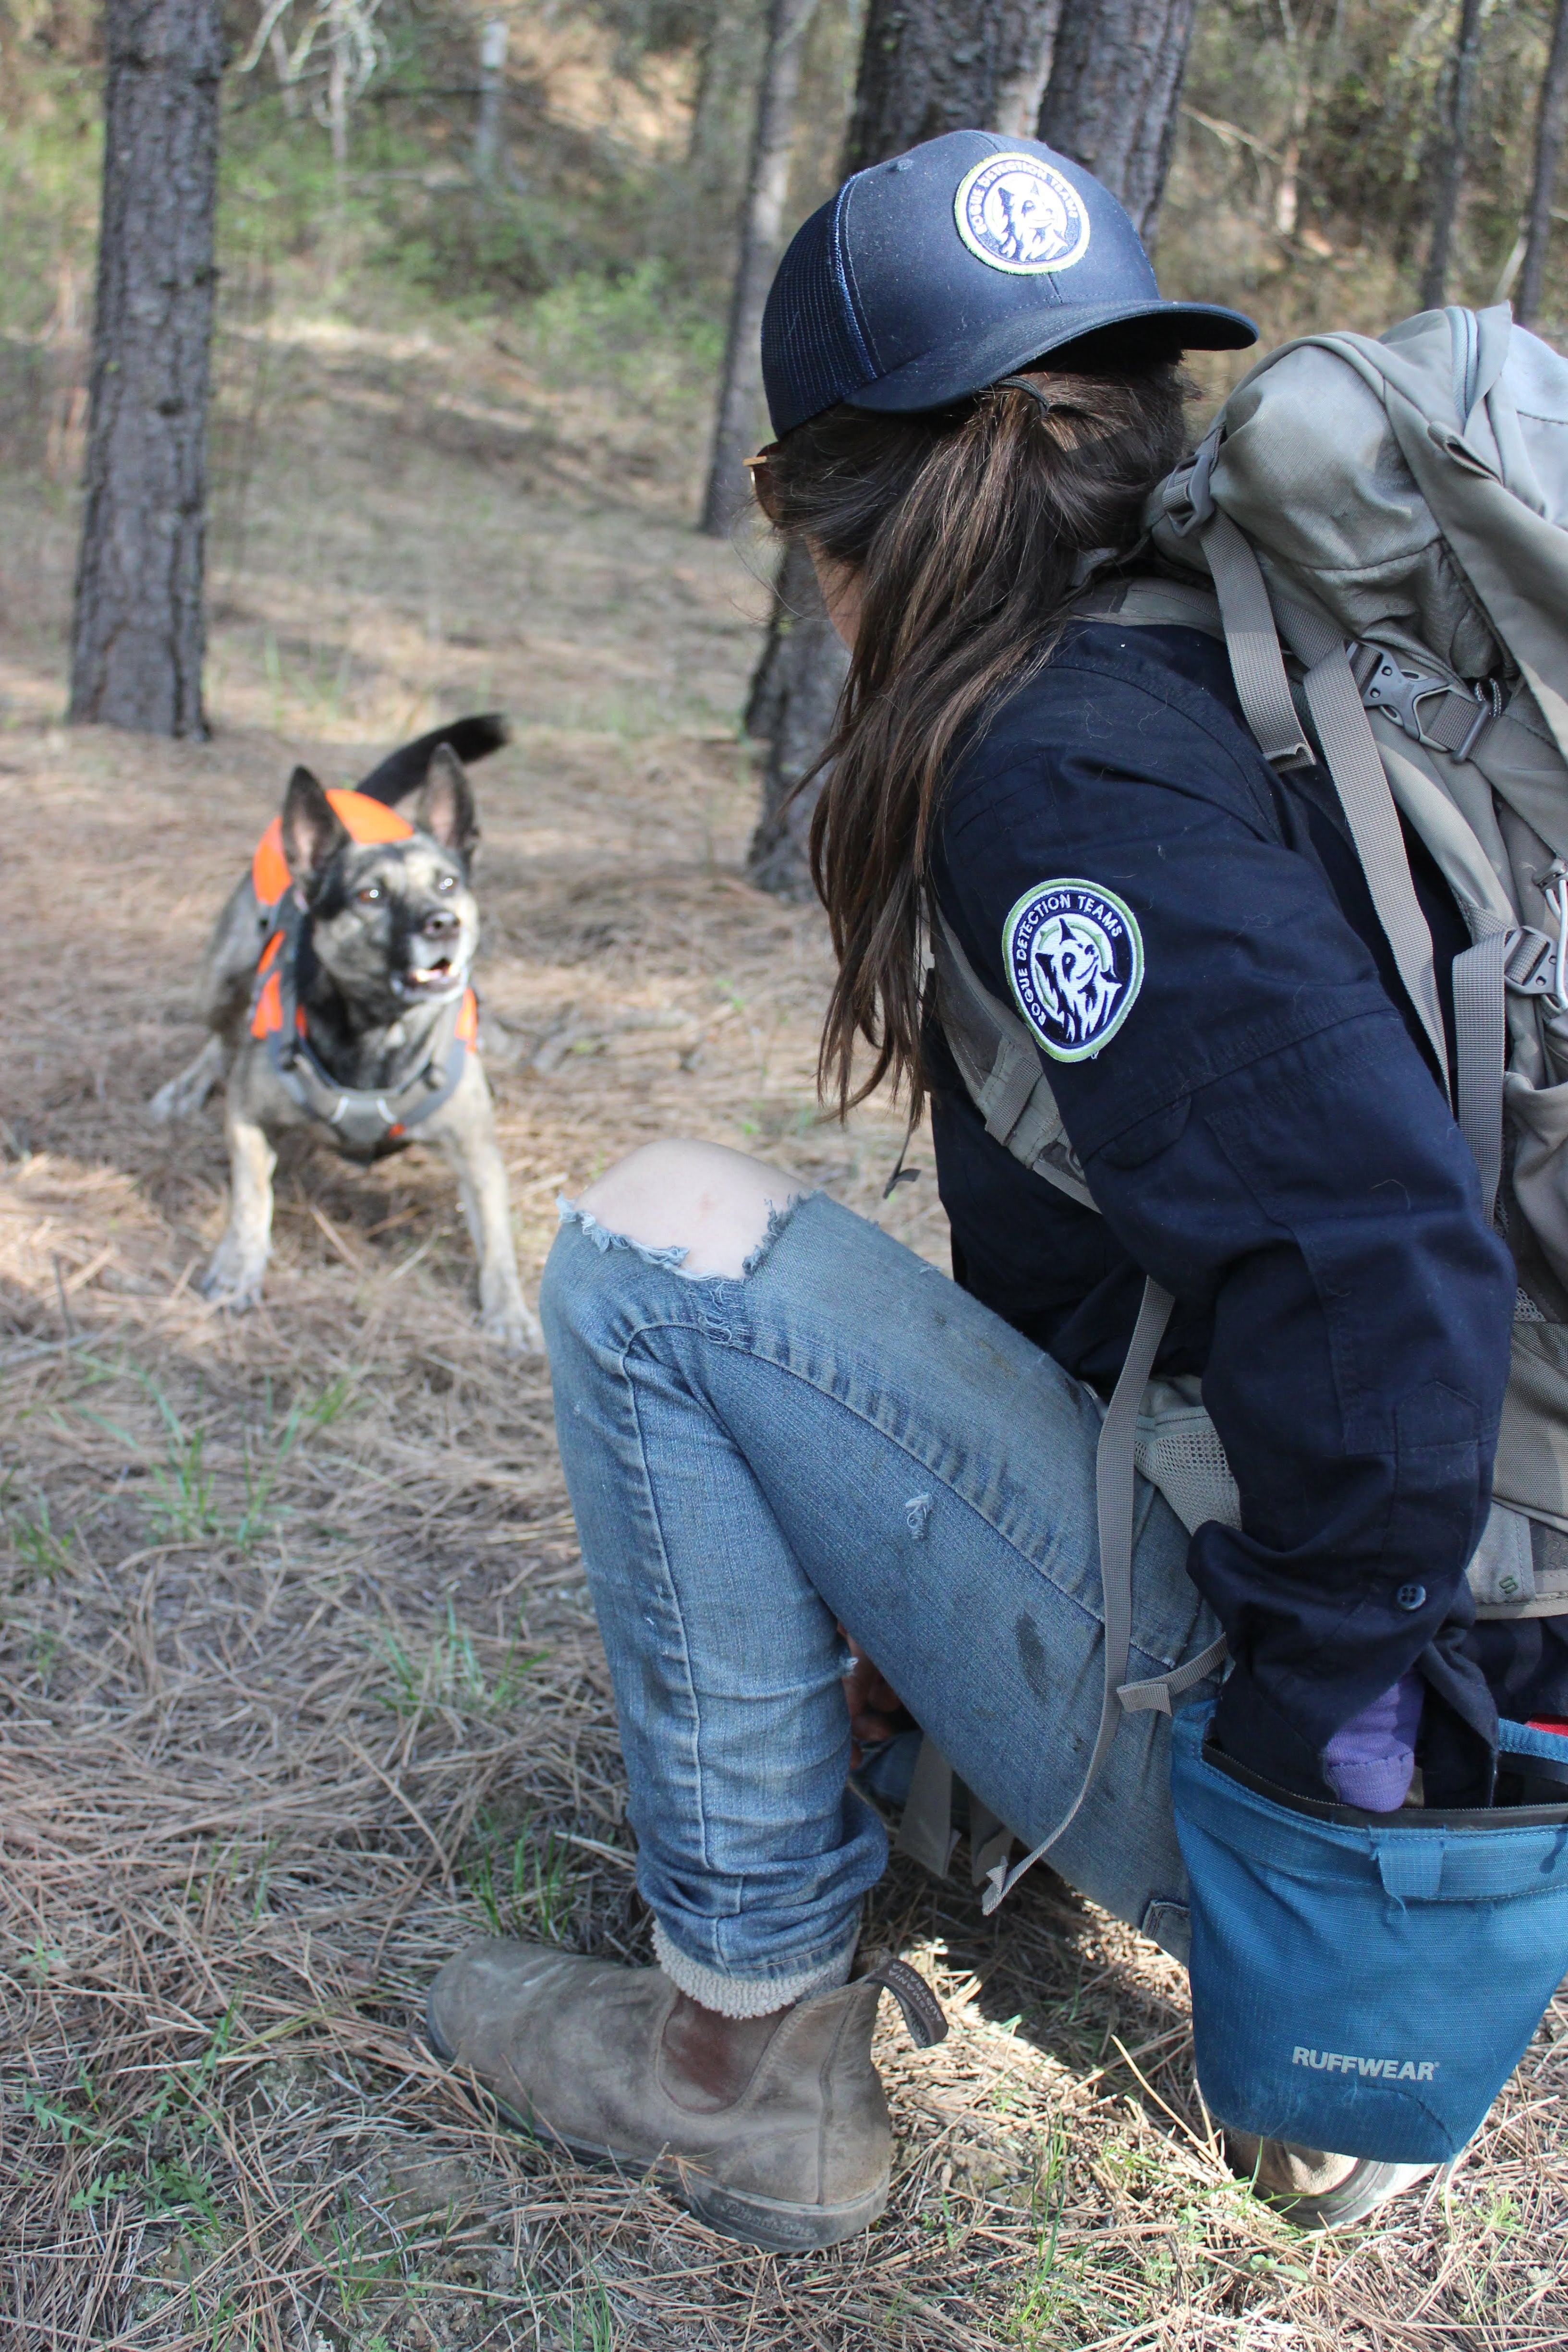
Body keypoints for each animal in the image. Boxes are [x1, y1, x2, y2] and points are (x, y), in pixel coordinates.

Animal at [153, 705, 543, 1355]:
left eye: (448, 883)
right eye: (371, 895)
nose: (444, 924)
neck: (378, 1034)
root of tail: (351, 797)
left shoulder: (478, 1152)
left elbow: (498, 1242)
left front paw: (509, 1311)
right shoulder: (246, 1118)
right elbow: (251, 1199)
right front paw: (238, 1269)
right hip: (220, 978)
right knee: (222, 1035)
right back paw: (185, 1085)